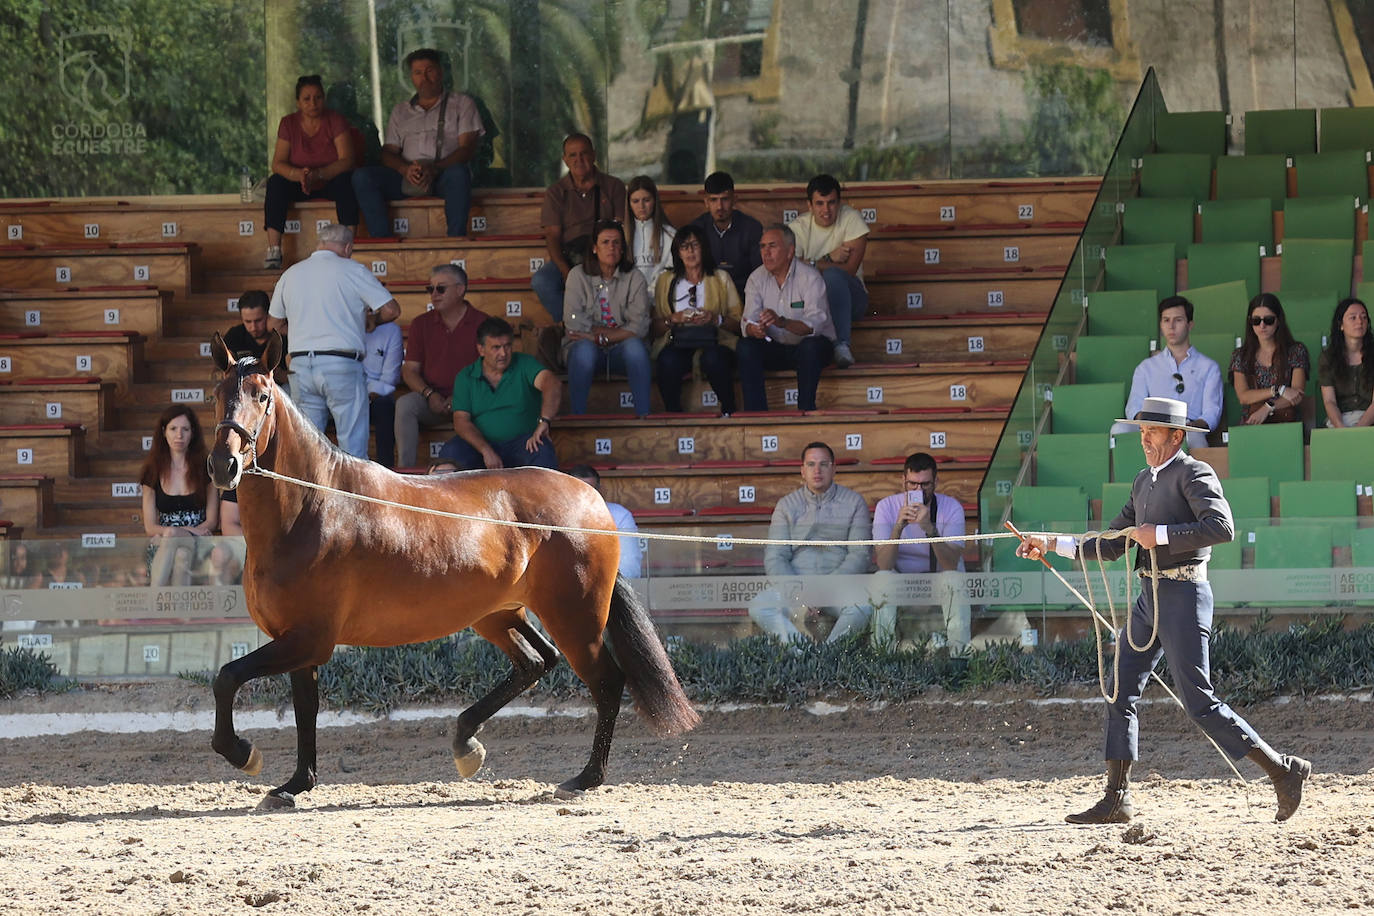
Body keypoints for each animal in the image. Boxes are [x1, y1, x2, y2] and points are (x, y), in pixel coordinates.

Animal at [203, 333, 697, 807]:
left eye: (262, 395)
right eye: (218, 393)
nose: (224, 465)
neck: (314, 507)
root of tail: (591, 502)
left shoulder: (308, 639)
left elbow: (226, 678)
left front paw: (244, 754)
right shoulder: (299, 643)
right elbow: (305, 710)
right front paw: (295, 785)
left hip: (575, 618)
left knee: (606, 682)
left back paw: (585, 778)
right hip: (499, 614)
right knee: (537, 661)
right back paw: (466, 744)